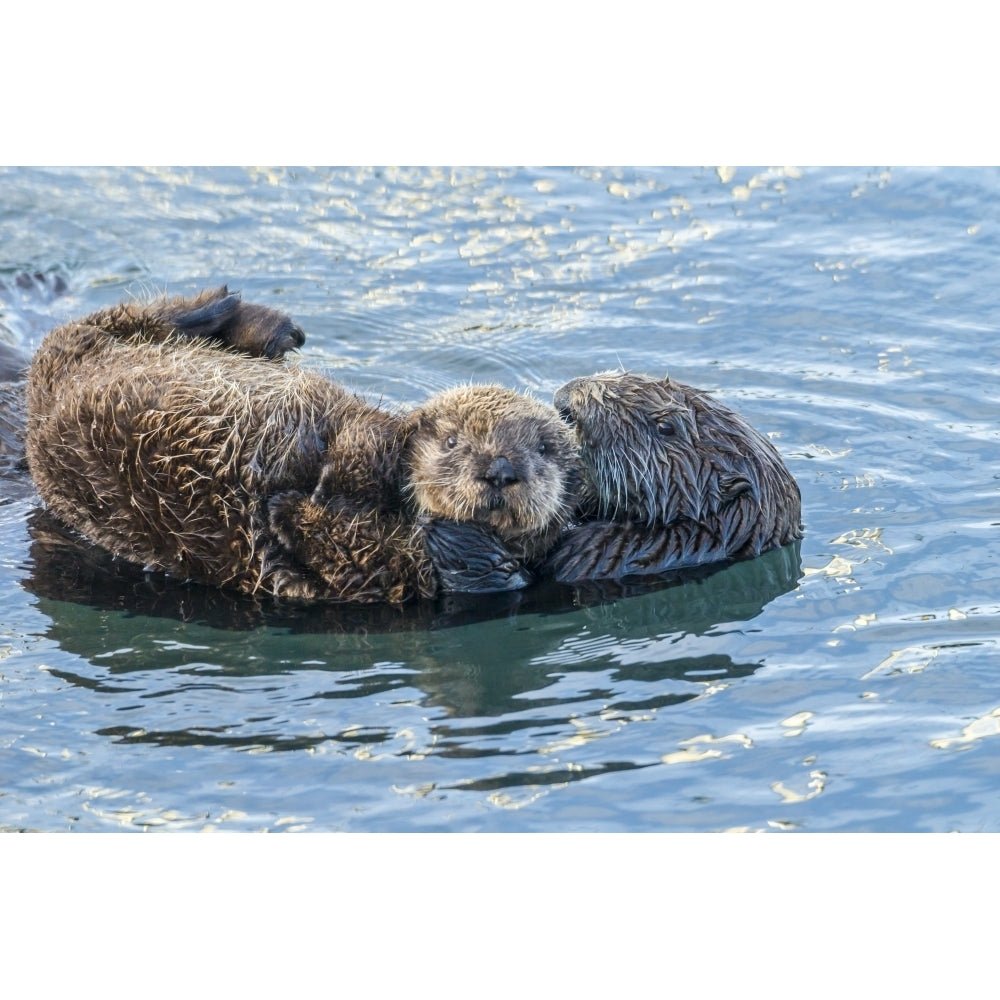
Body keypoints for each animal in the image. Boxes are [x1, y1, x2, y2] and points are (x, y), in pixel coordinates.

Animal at [23, 286, 580, 604]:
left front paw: (286, 507)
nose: (500, 470)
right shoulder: (371, 442)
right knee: (126, 319)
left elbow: (320, 540)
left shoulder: (375, 576)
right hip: (91, 352)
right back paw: (250, 320)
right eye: (450, 441)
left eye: (545, 450)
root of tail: (43, 396)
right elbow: (358, 441)